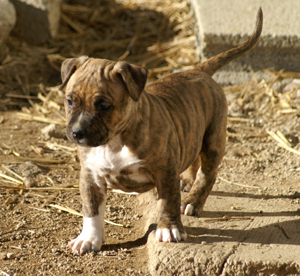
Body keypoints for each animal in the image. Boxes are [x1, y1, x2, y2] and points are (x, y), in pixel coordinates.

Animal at [60, 9, 262, 254]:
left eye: (104, 106)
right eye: (70, 101)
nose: (77, 132)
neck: (115, 141)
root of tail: (198, 70)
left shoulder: (164, 171)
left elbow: (168, 201)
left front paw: (169, 229)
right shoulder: (91, 176)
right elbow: (91, 210)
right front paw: (89, 238)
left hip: (213, 139)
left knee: (208, 173)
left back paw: (193, 201)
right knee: (193, 157)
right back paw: (186, 180)